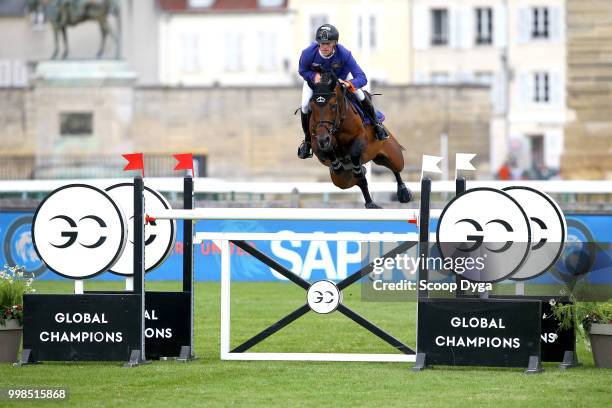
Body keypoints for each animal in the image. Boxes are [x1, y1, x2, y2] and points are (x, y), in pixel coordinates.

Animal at [310, 71, 412, 209]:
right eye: (311, 106)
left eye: (333, 105)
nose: (323, 139)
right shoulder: (317, 144)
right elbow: (326, 151)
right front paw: (336, 162)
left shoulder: (359, 140)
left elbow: (354, 152)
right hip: (342, 180)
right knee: (357, 180)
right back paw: (369, 200)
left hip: (393, 155)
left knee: (395, 169)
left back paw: (403, 193)